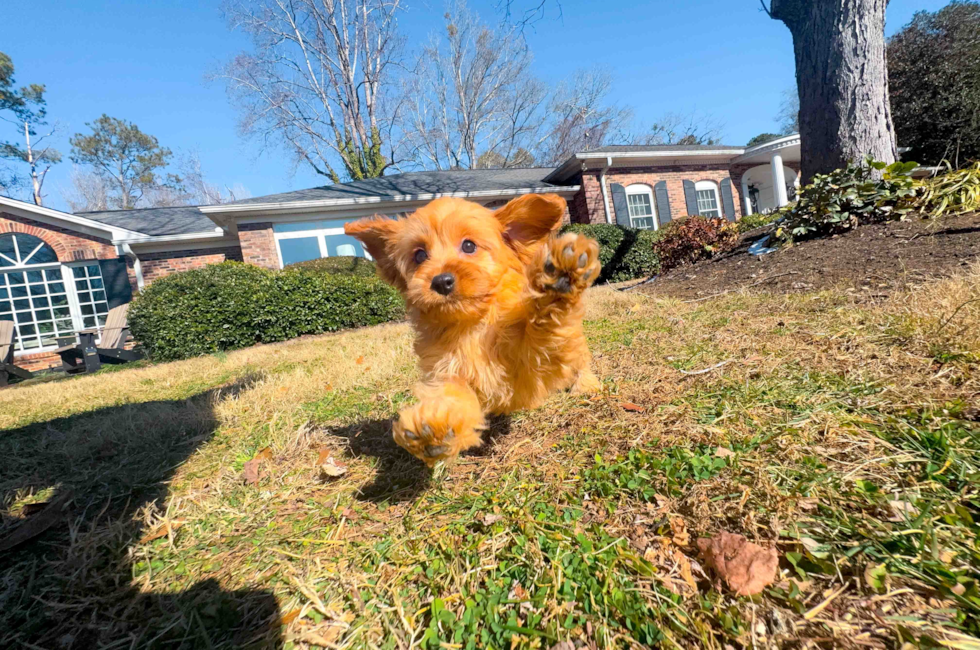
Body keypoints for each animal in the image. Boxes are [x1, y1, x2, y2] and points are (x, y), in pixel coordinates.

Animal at [348, 192, 600, 466]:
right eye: (419, 255)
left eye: (469, 246)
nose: (441, 281)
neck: (472, 325)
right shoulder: (447, 370)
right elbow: (453, 398)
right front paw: (435, 429)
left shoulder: (534, 364)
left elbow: (542, 332)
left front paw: (560, 277)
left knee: (579, 358)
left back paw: (586, 383)